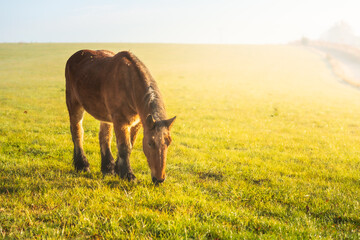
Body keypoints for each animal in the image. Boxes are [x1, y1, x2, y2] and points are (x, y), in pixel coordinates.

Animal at [66, 49, 177, 184]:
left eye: (169, 142)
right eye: (150, 143)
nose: (159, 179)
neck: (129, 84)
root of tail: (75, 56)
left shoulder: (137, 123)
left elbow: (130, 144)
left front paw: (117, 169)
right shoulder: (120, 121)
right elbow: (125, 147)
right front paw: (128, 175)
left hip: (105, 117)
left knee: (104, 137)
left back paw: (107, 168)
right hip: (74, 104)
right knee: (77, 132)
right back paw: (82, 165)